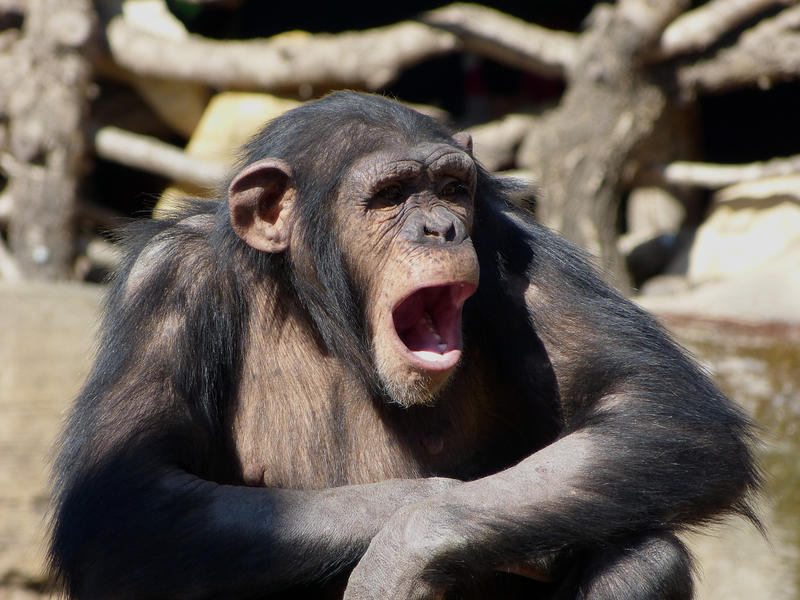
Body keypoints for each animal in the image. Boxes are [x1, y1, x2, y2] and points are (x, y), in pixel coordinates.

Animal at [47, 90, 760, 600]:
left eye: (451, 188)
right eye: (389, 196)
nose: (441, 228)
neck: (327, 320)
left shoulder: (513, 247)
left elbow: (656, 407)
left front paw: (411, 544)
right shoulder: (164, 281)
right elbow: (126, 497)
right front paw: (420, 507)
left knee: (643, 556)